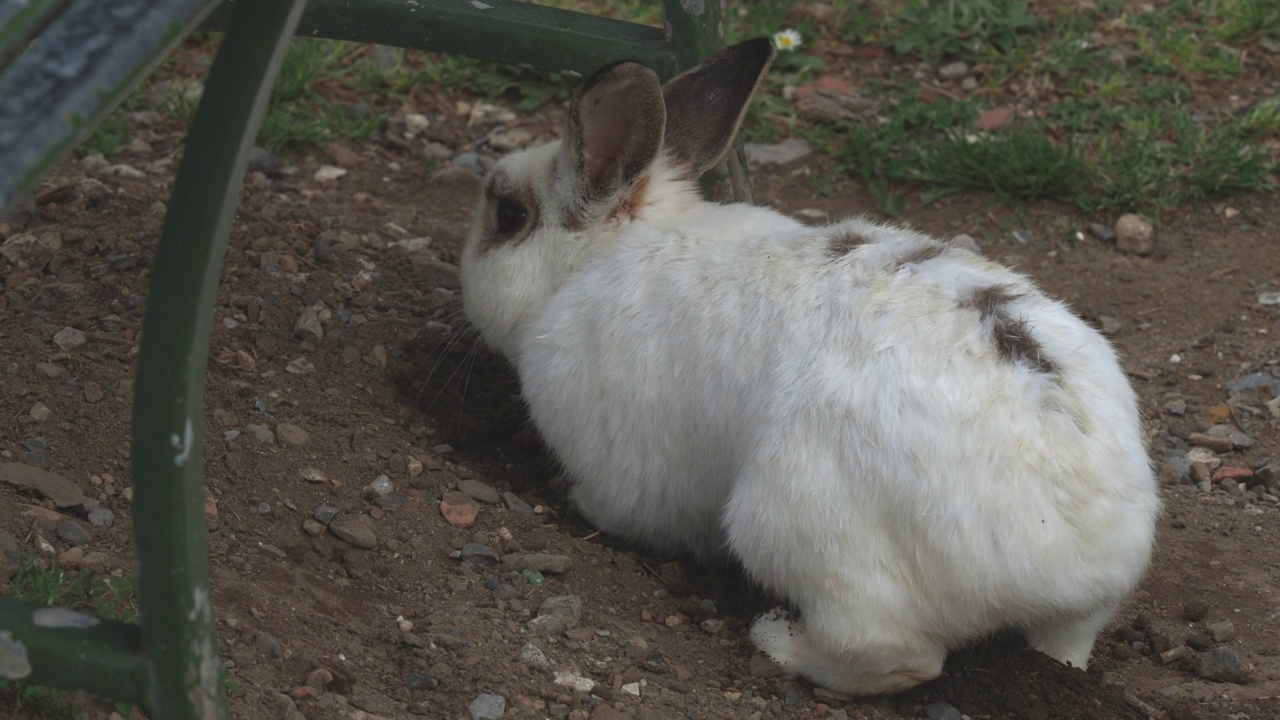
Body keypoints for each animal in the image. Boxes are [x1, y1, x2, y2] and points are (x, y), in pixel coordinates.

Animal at [458, 36, 1162, 691]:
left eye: (509, 215)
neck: (605, 254)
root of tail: (1075, 561)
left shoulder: (626, 460)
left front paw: (571, 499)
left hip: (787, 520)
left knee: (894, 656)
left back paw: (778, 642)